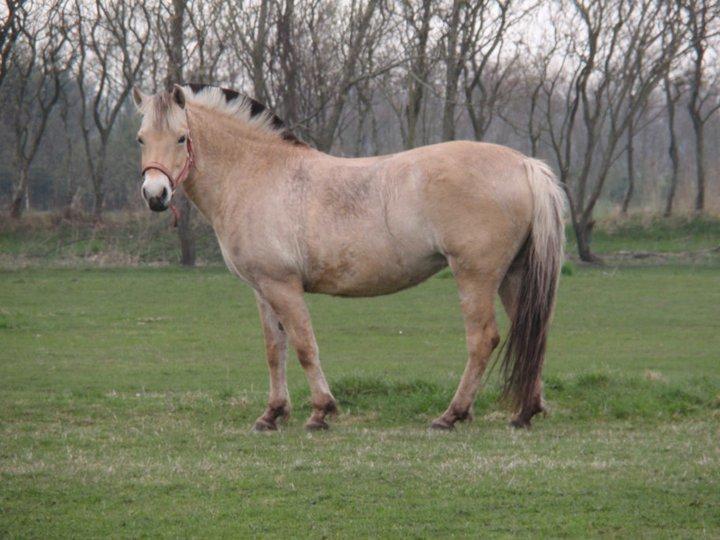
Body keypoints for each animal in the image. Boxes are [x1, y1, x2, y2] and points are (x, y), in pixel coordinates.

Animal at [132, 83, 564, 430]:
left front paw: (320, 412)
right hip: (513, 276)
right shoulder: (262, 289)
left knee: (482, 339)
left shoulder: (282, 286)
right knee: (533, 329)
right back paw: (525, 412)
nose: (155, 195)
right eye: (140, 139)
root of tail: (524, 164)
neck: (257, 174)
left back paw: (451, 415)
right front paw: (272, 414)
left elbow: (304, 346)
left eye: (181, 138)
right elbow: (275, 351)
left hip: (475, 277)